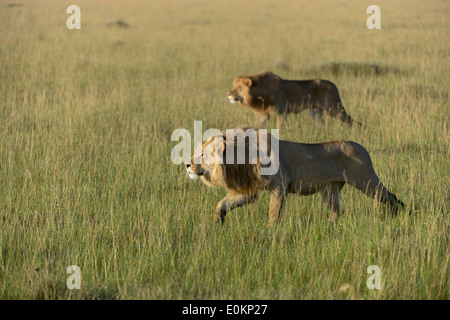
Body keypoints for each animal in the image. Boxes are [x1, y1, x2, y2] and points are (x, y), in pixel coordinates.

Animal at [185, 129, 404, 224]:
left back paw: (396, 216)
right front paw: (218, 223)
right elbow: (222, 204)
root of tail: (363, 147)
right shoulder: (248, 190)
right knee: (336, 212)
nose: (187, 165)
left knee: (389, 196)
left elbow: (274, 213)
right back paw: (329, 226)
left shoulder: (280, 185)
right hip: (330, 190)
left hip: (365, 180)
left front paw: (270, 233)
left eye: (202, 155)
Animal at [227, 71, 360, 129]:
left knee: (349, 120)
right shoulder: (264, 114)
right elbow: (255, 125)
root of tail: (333, 84)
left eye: (238, 88)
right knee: (322, 124)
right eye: (233, 87)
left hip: (333, 108)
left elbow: (280, 126)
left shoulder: (282, 111)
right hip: (315, 111)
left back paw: (351, 131)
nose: (228, 94)